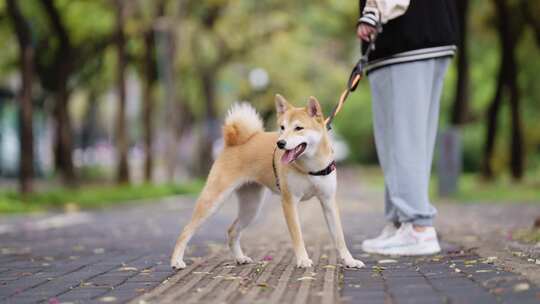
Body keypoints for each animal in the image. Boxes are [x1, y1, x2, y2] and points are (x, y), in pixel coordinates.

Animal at [172, 94, 368, 268]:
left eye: (298, 128)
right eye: (282, 127)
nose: (280, 143)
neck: (311, 166)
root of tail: (234, 142)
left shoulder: (328, 201)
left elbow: (339, 237)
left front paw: (349, 260)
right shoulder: (289, 202)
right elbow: (298, 236)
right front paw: (303, 260)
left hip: (251, 208)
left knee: (232, 230)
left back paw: (240, 258)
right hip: (213, 201)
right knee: (186, 230)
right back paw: (176, 261)